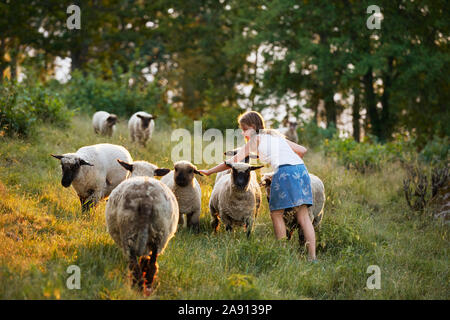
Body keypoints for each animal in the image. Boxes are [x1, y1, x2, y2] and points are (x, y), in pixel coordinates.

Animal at [105, 159, 176, 294]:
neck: (142, 174)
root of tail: (146, 201)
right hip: (160, 234)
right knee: (152, 264)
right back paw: (147, 285)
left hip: (128, 231)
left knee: (134, 265)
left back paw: (137, 287)